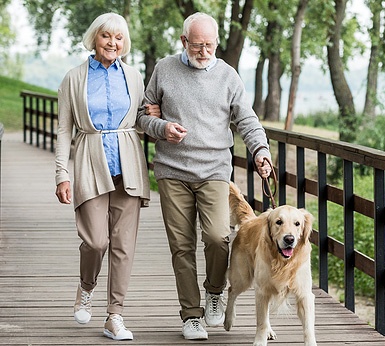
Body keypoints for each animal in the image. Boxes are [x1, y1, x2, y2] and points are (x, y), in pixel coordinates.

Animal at [224, 181, 316, 346]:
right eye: (278, 222)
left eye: (297, 223)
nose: (289, 239)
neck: (283, 263)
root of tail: (249, 221)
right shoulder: (262, 290)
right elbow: (260, 322)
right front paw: (259, 341)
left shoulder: (304, 293)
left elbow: (308, 327)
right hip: (243, 277)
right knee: (231, 291)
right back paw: (229, 320)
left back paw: (269, 331)